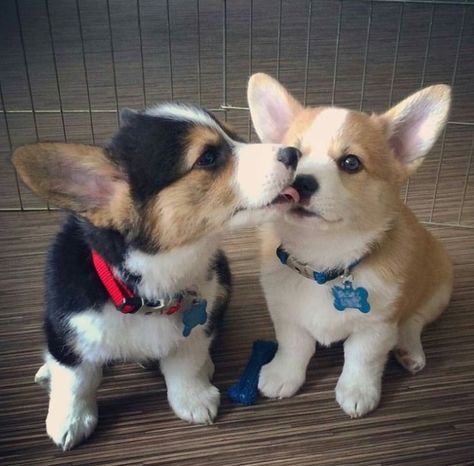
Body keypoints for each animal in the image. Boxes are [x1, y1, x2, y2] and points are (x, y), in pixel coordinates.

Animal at [12, 104, 300, 450]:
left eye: (236, 137)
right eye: (207, 157)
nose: (295, 153)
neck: (147, 291)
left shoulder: (199, 323)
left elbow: (185, 365)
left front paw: (192, 398)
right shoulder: (68, 325)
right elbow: (76, 380)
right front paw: (70, 422)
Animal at [248, 73, 452, 418]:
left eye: (350, 162)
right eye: (292, 155)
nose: (300, 182)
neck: (323, 258)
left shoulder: (377, 326)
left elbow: (361, 358)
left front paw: (357, 391)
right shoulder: (286, 313)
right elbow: (294, 345)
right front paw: (282, 375)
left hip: (439, 287)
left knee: (415, 319)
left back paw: (408, 349)